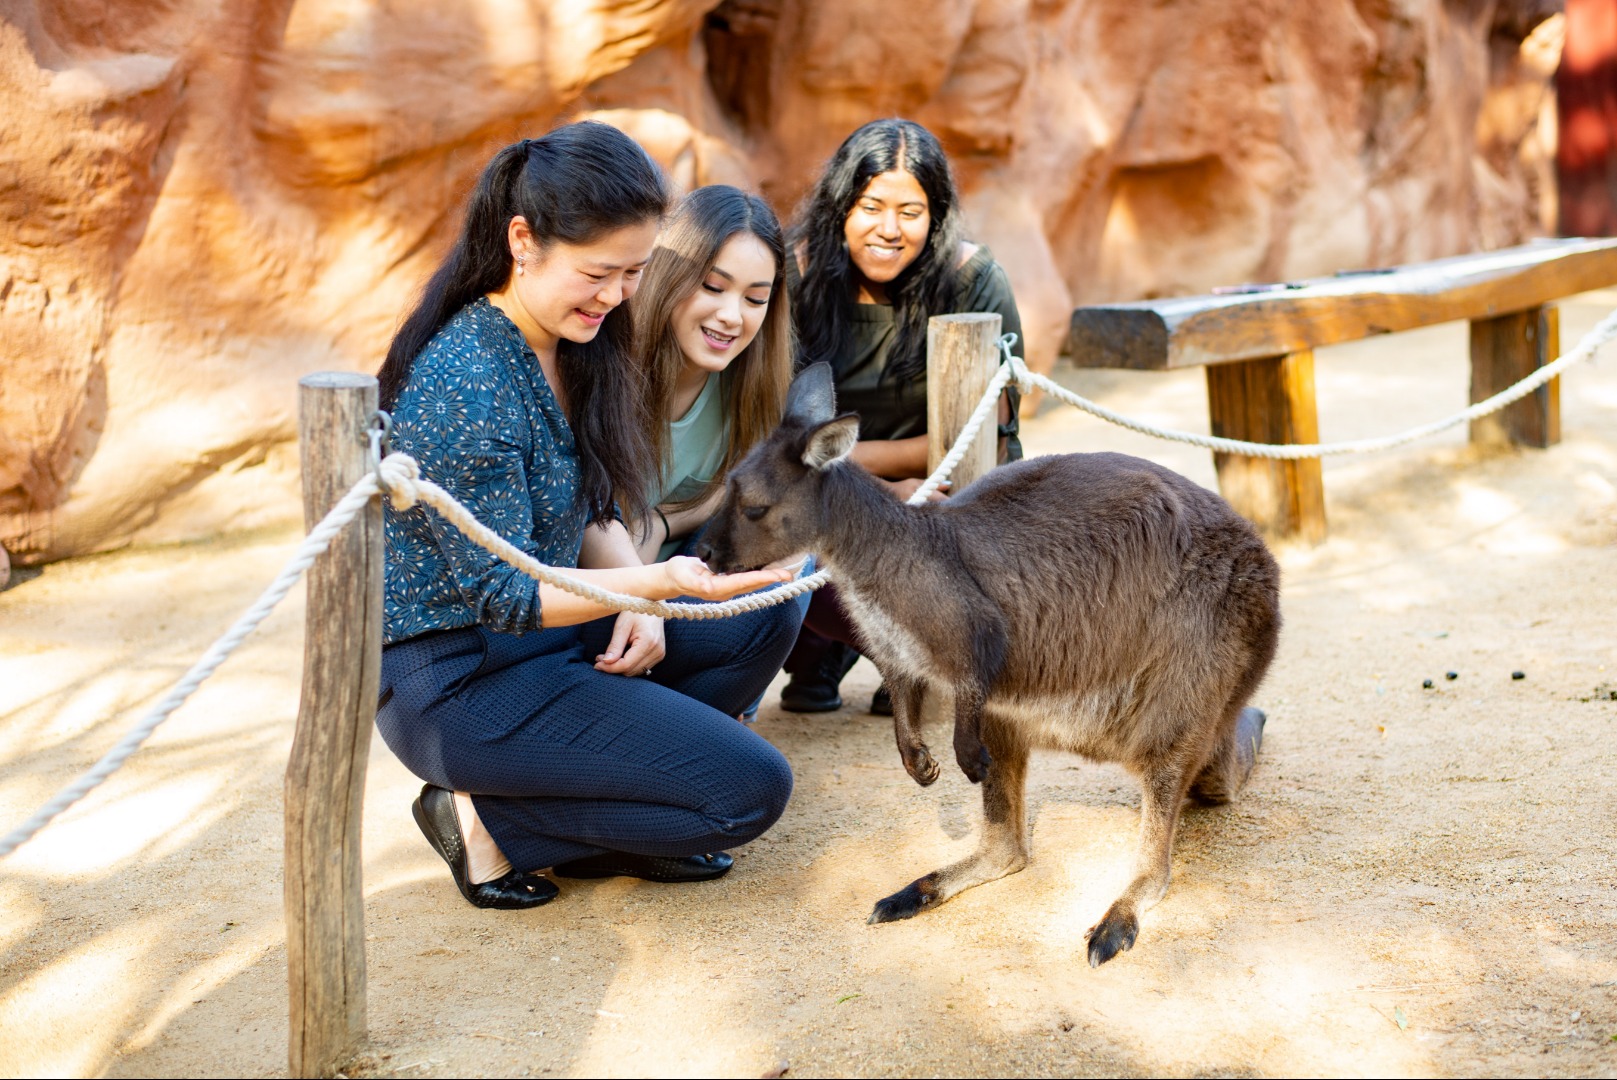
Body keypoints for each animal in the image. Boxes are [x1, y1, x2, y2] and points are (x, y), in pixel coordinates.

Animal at [695, 364, 1281, 966]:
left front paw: (960, 761)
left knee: (1159, 855)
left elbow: (971, 679)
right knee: (1009, 850)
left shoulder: (973, 630)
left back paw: (1114, 923)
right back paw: (914, 893)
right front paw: (919, 766)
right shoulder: (895, 653)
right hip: (1019, 713)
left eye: (755, 508)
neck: (881, 554)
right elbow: (903, 702)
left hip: (1194, 674)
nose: (706, 554)